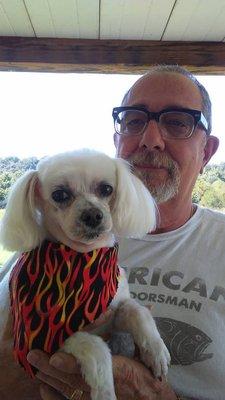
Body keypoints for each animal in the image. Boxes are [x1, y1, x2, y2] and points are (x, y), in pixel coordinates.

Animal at [0, 149, 169, 400]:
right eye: (60, 194)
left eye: (107, 189)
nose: (92, 215)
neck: (84, 259)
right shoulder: (40, 340)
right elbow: (94, 347)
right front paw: (104, 390)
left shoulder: (113, 312)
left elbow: (136, 310)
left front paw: (156, 350)